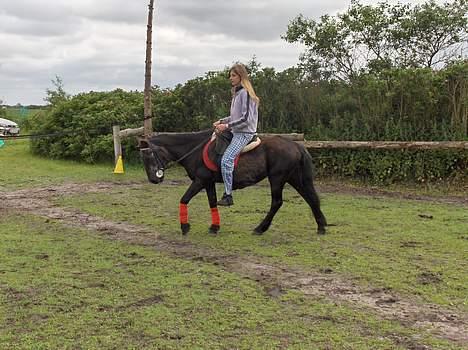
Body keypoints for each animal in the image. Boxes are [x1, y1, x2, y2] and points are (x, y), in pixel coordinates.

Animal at [139, 131, 328, 235]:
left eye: (149, 155)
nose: (153, 179)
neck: (194, 150)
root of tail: (296, 146)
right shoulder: (208, 182)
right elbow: (212, 202)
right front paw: (214, 227)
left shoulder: (200, 181)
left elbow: (184, 199)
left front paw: (185, 227)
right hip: (294, 178)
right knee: (311, 198)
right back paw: (321, 226)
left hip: (277, 178)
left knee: (277, 202)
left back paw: (260, 228)